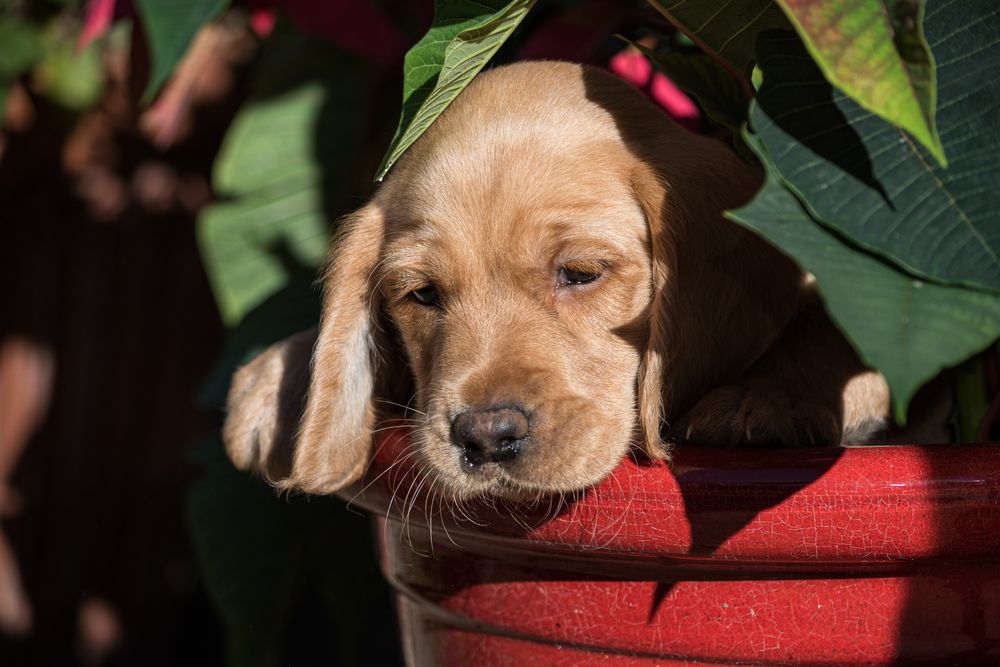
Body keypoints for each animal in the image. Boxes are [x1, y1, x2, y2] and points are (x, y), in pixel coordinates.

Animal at [223, 61, 896, 500]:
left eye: (579, 274)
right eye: (422, 294)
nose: (485, 438)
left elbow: (837, 339)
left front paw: (768, 396)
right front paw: (279, 381)